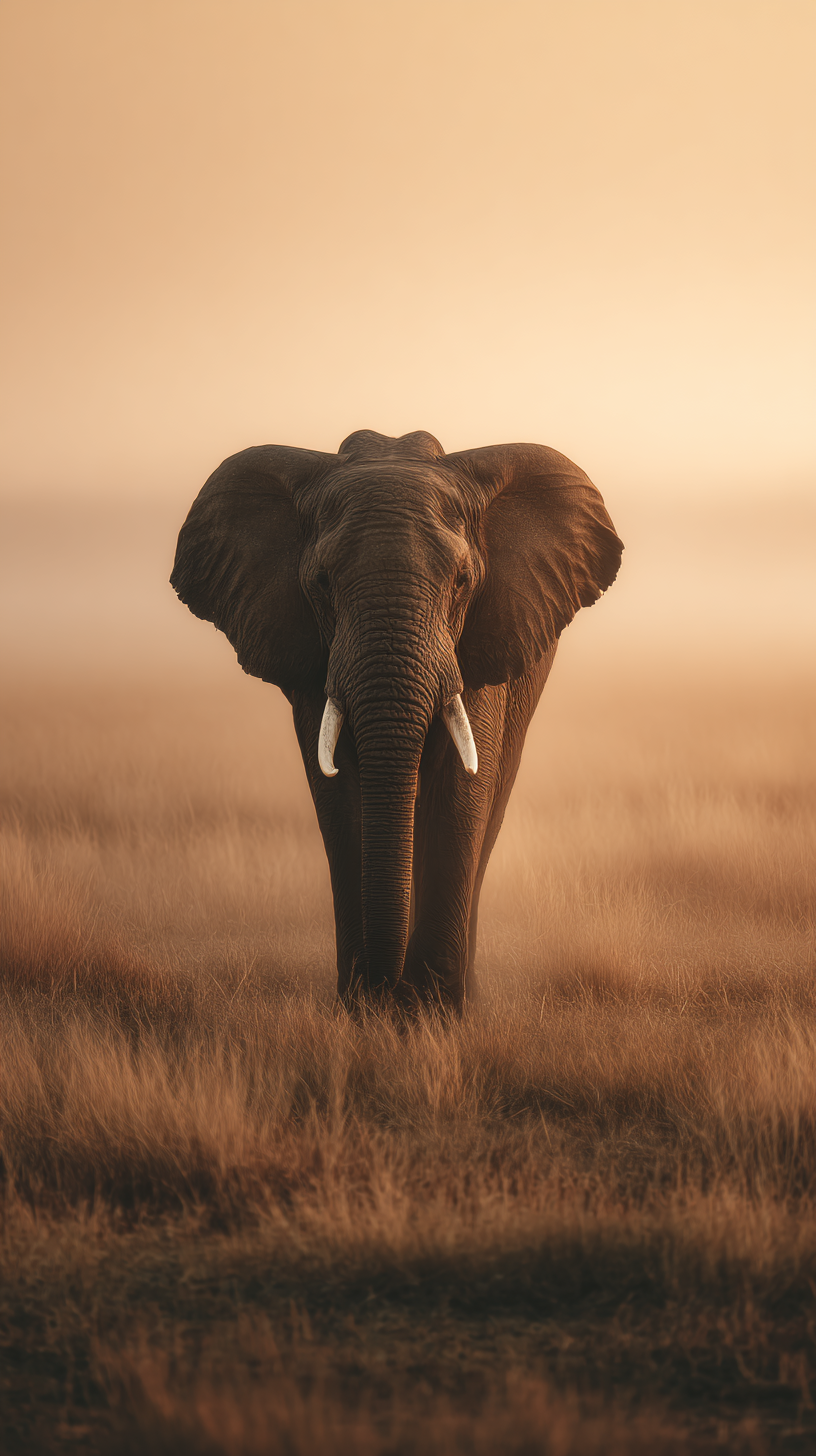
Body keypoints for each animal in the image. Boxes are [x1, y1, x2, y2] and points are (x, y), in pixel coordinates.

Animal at [171, 429, 622, 1011]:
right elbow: (339, 791)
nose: (387, 995)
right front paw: (366, 1011)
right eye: (321, 582)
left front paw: (431, 1014)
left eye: (462, 581)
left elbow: (460, 789)